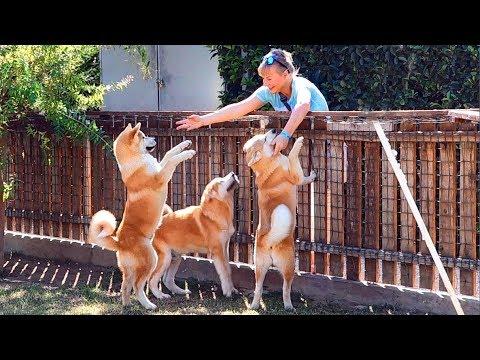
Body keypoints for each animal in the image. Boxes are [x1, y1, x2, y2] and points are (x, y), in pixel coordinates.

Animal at [86, 123, 195, 310]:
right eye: (143, 137)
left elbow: (169, 153)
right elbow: (172, 161)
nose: (155, 138)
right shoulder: (161, 176)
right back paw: (149, 304)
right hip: (152, 260)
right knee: (138, 286)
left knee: (126, 286)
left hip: (129, 270)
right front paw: (187, 154)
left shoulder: (159, 167)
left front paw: (184, 144)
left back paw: (127, 305)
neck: (136, 162)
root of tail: (120, 242)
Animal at [244, 129, 316, 310]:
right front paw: (298, 144)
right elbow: (294, 160)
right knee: (286, 288)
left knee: (258, 287)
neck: (269, 164)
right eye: (264, 138)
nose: (275, 130)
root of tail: (268, 240)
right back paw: (289, 306)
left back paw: (255, 305)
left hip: (259, 267)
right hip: (289, 266)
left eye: (264, 134)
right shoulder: (295, 176)